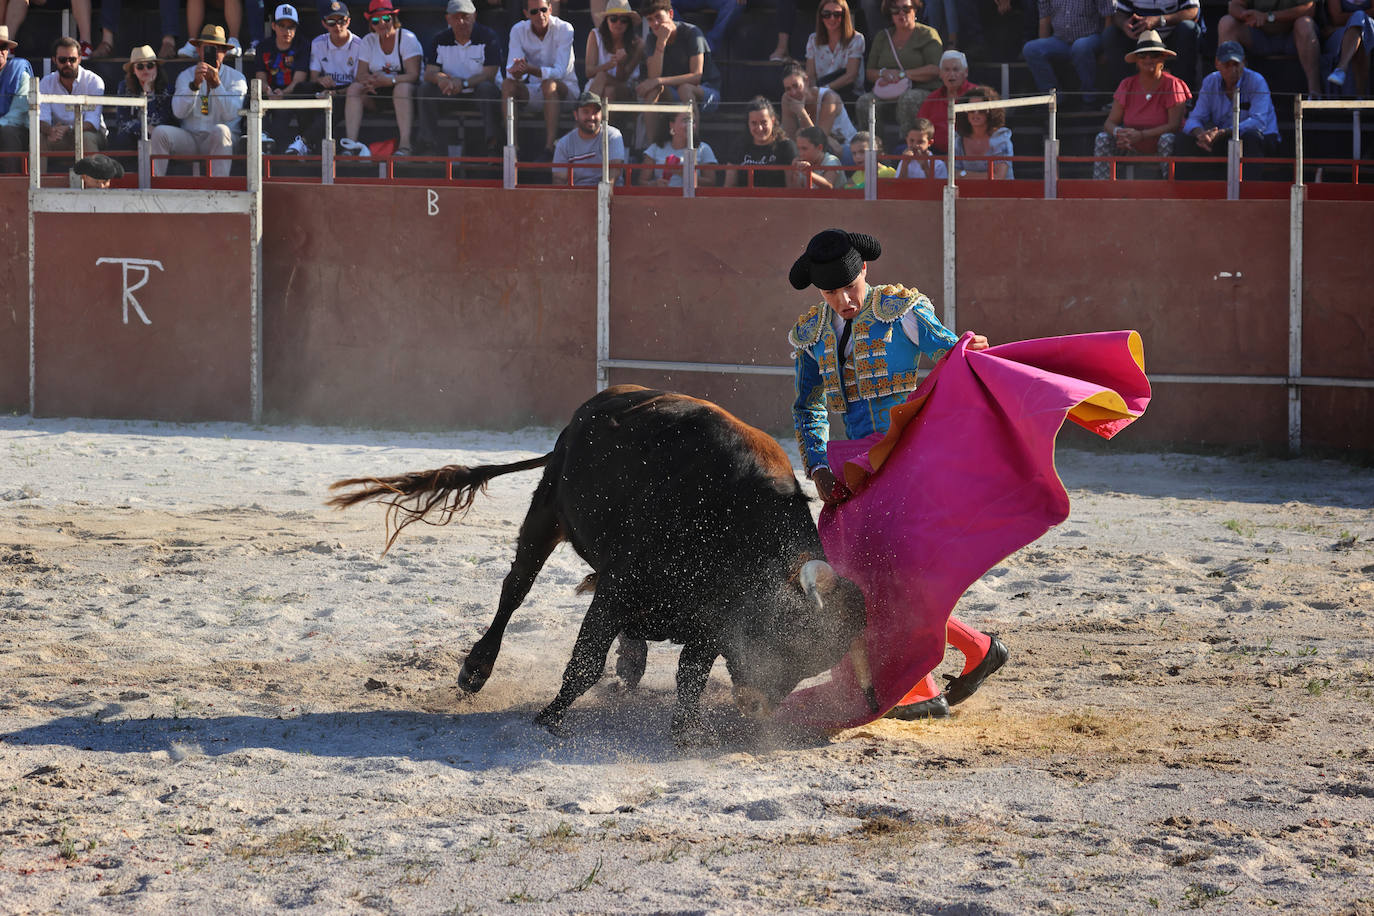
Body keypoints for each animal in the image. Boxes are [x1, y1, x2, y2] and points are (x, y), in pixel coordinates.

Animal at [327, 384, 873, 736]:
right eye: (787, 639)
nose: (755, 709)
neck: (735, 520)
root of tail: (582, 415)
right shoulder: (618, 586)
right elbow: (585, 662)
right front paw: (550, 718)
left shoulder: (712, 617)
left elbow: (690, 675)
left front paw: (686, 731)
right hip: (545, 513)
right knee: (515, 590)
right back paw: (477, 669)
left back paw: (631, 662)